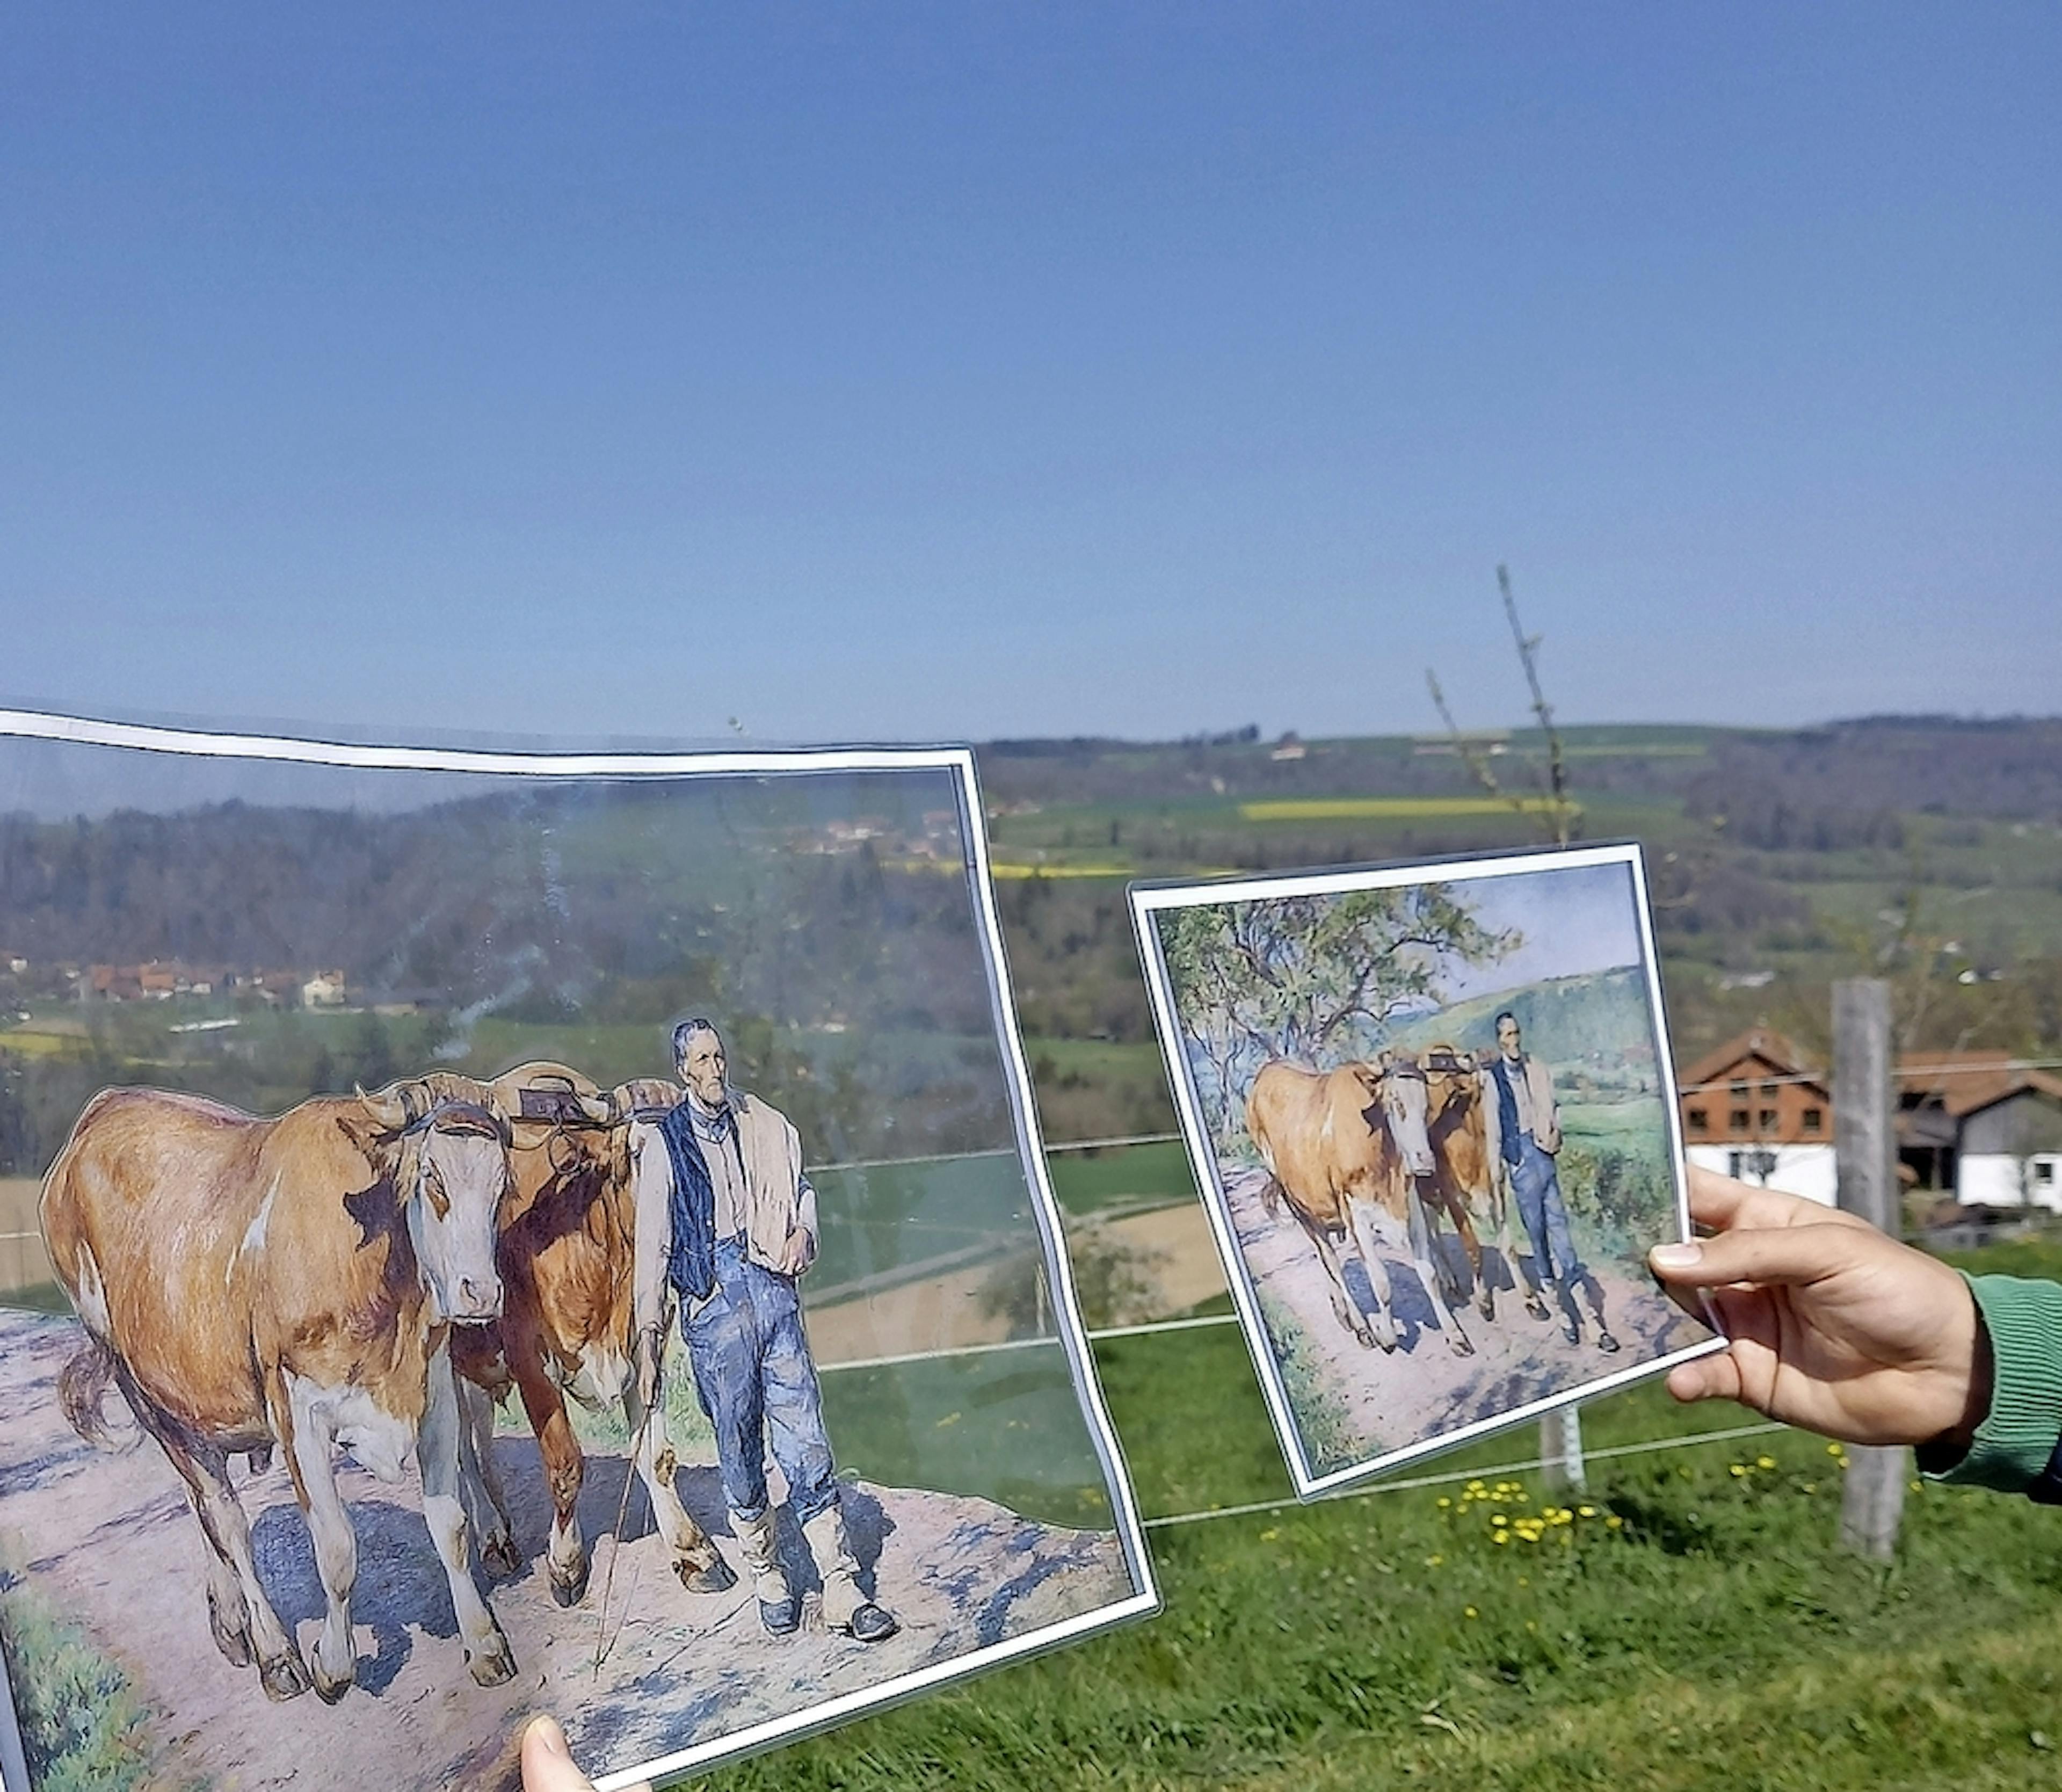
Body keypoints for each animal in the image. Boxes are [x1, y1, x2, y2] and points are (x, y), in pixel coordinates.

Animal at [39, 1072, 519, 1699]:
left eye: (502, 1185)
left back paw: (230, 1623)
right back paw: (274, 1654)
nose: (481, 1293)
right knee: (226, 1522)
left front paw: (485, 1645)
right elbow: (336, 1547)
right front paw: (333, 1665)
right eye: (433, 1178)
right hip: (141, 1388)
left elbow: (451, 1526)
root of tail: (107, 1104)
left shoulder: (432, 1392)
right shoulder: (298, 1410)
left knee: (202, 1506)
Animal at [451, 1064, 734, 1608]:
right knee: (459, 1451)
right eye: (639, 1154)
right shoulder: (530, 1358)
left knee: (479, 1437)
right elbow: (565, 1466)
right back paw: (493, 1534)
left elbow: (657, 1456)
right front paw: (567, 1565)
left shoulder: (646, 1346)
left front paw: (694, 1552)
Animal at [1245, 1047, 1476, 1353]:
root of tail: (1267, 1072)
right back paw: (1360, 1325)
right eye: (1395, 1103)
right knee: (1330, 1261)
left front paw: (1455, 1334)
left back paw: (1342, 1312)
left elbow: (1429, 1273)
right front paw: (1387, 1336)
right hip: (1299, 1205)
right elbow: (1381, 1282)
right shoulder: (1354, 1212)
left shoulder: (1410, 1204)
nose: (1425, 1161)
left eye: (1426, 1105)